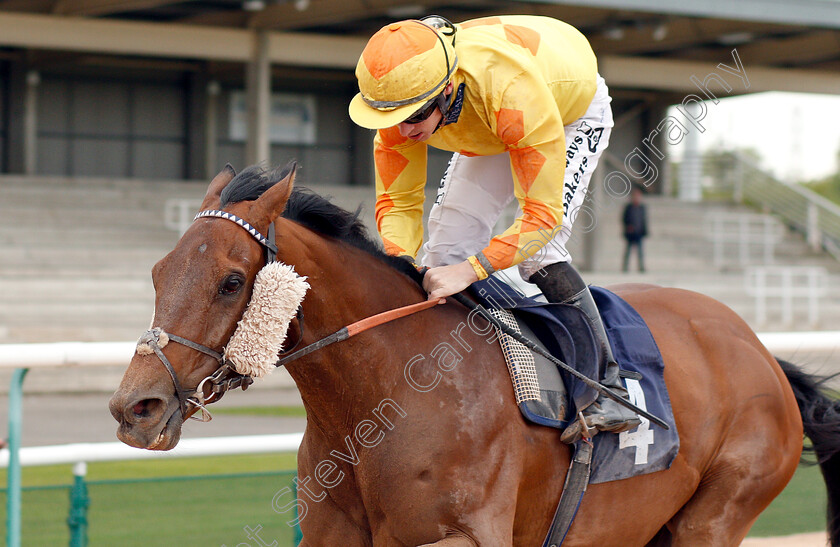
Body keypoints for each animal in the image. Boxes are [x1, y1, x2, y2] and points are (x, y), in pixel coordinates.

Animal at [108, 165, 840, 544]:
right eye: (158, 272)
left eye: (231, 281)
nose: (133, 407)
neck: (382, 397)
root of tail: (762, 354)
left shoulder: (461, 536)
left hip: (716, 515)